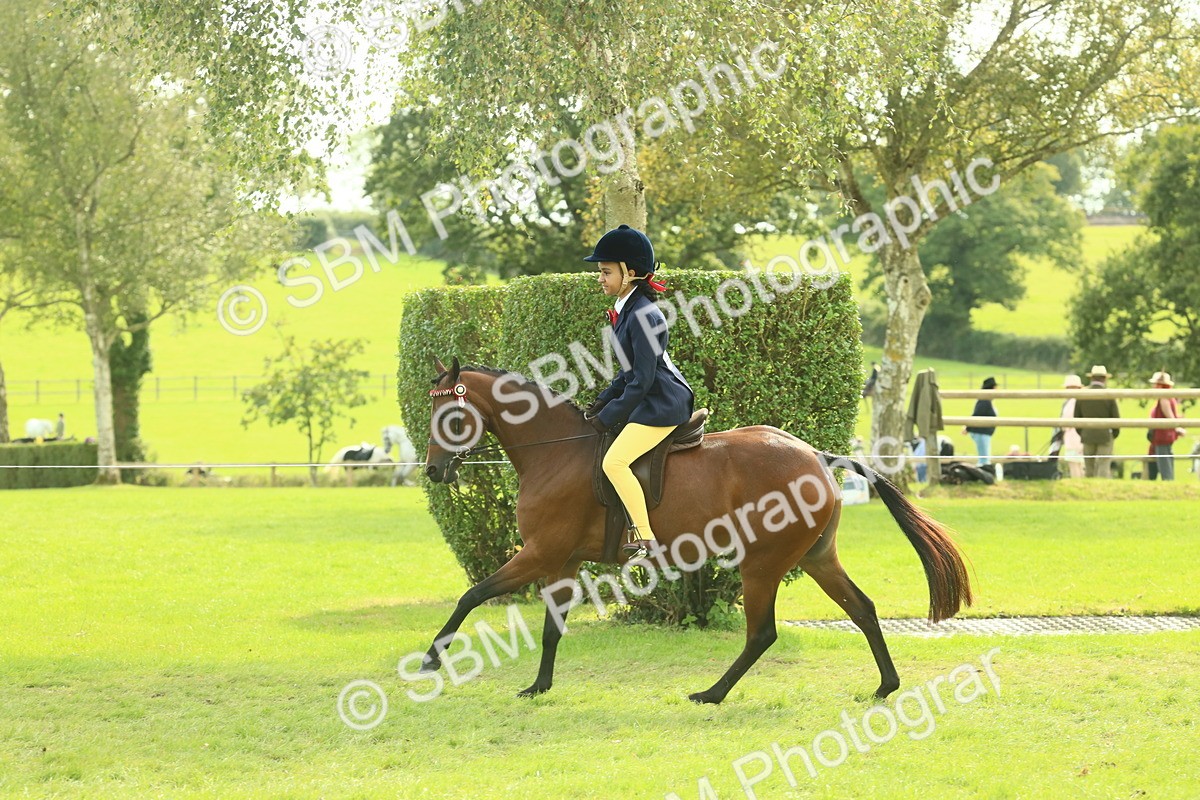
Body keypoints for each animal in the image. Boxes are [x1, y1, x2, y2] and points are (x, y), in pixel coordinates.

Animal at [419, 357, 972, 704]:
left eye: (451, 416)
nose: (433, 471)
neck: (556, 451)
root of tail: (816, 454)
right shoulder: (563, 561)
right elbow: (552, 627)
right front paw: (538, 688)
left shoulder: (538, 553)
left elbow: (472, 596)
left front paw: (430, 660)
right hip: (816, 558)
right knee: (862, 609)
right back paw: (885, 686)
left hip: (763, 563)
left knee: (762, 632)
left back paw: (712, 694)